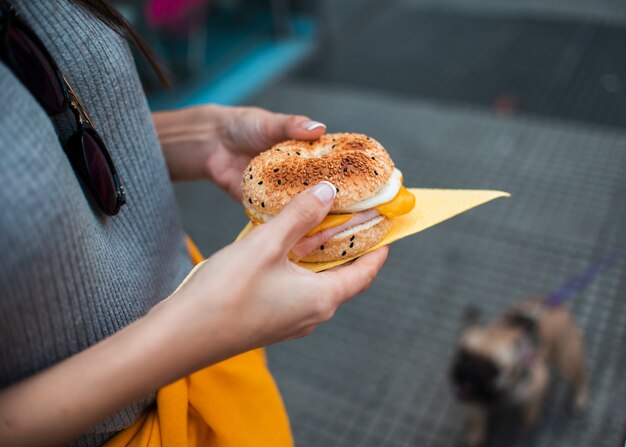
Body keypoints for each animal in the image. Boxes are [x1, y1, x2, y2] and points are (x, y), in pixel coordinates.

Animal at [448, 298, 584, 447]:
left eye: (493, 368)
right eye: (461, 355)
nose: (469, 368)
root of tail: (556, 306)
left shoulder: (539, 383)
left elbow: (529, 412)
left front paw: (527, 418)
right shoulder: (474, 396)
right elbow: (476, 417)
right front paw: (475, 435)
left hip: (566, 358)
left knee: (580, 376)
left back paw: (580, 399)